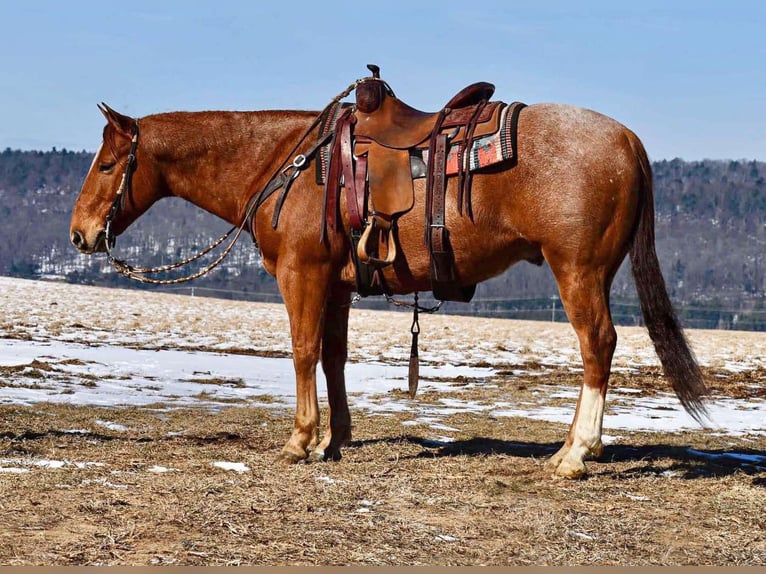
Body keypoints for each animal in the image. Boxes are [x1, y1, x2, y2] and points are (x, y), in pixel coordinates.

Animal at [69, 77, 712, 482]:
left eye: (108, 163)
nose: (80, 234)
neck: (288, 164)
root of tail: (626, 139)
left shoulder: (302, 274)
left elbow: (302, 351)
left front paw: (300, 440)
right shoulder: (337, 284)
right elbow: (332, 356)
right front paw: (335, 440)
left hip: (577, 269)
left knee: (596, 345)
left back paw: (574, 455)